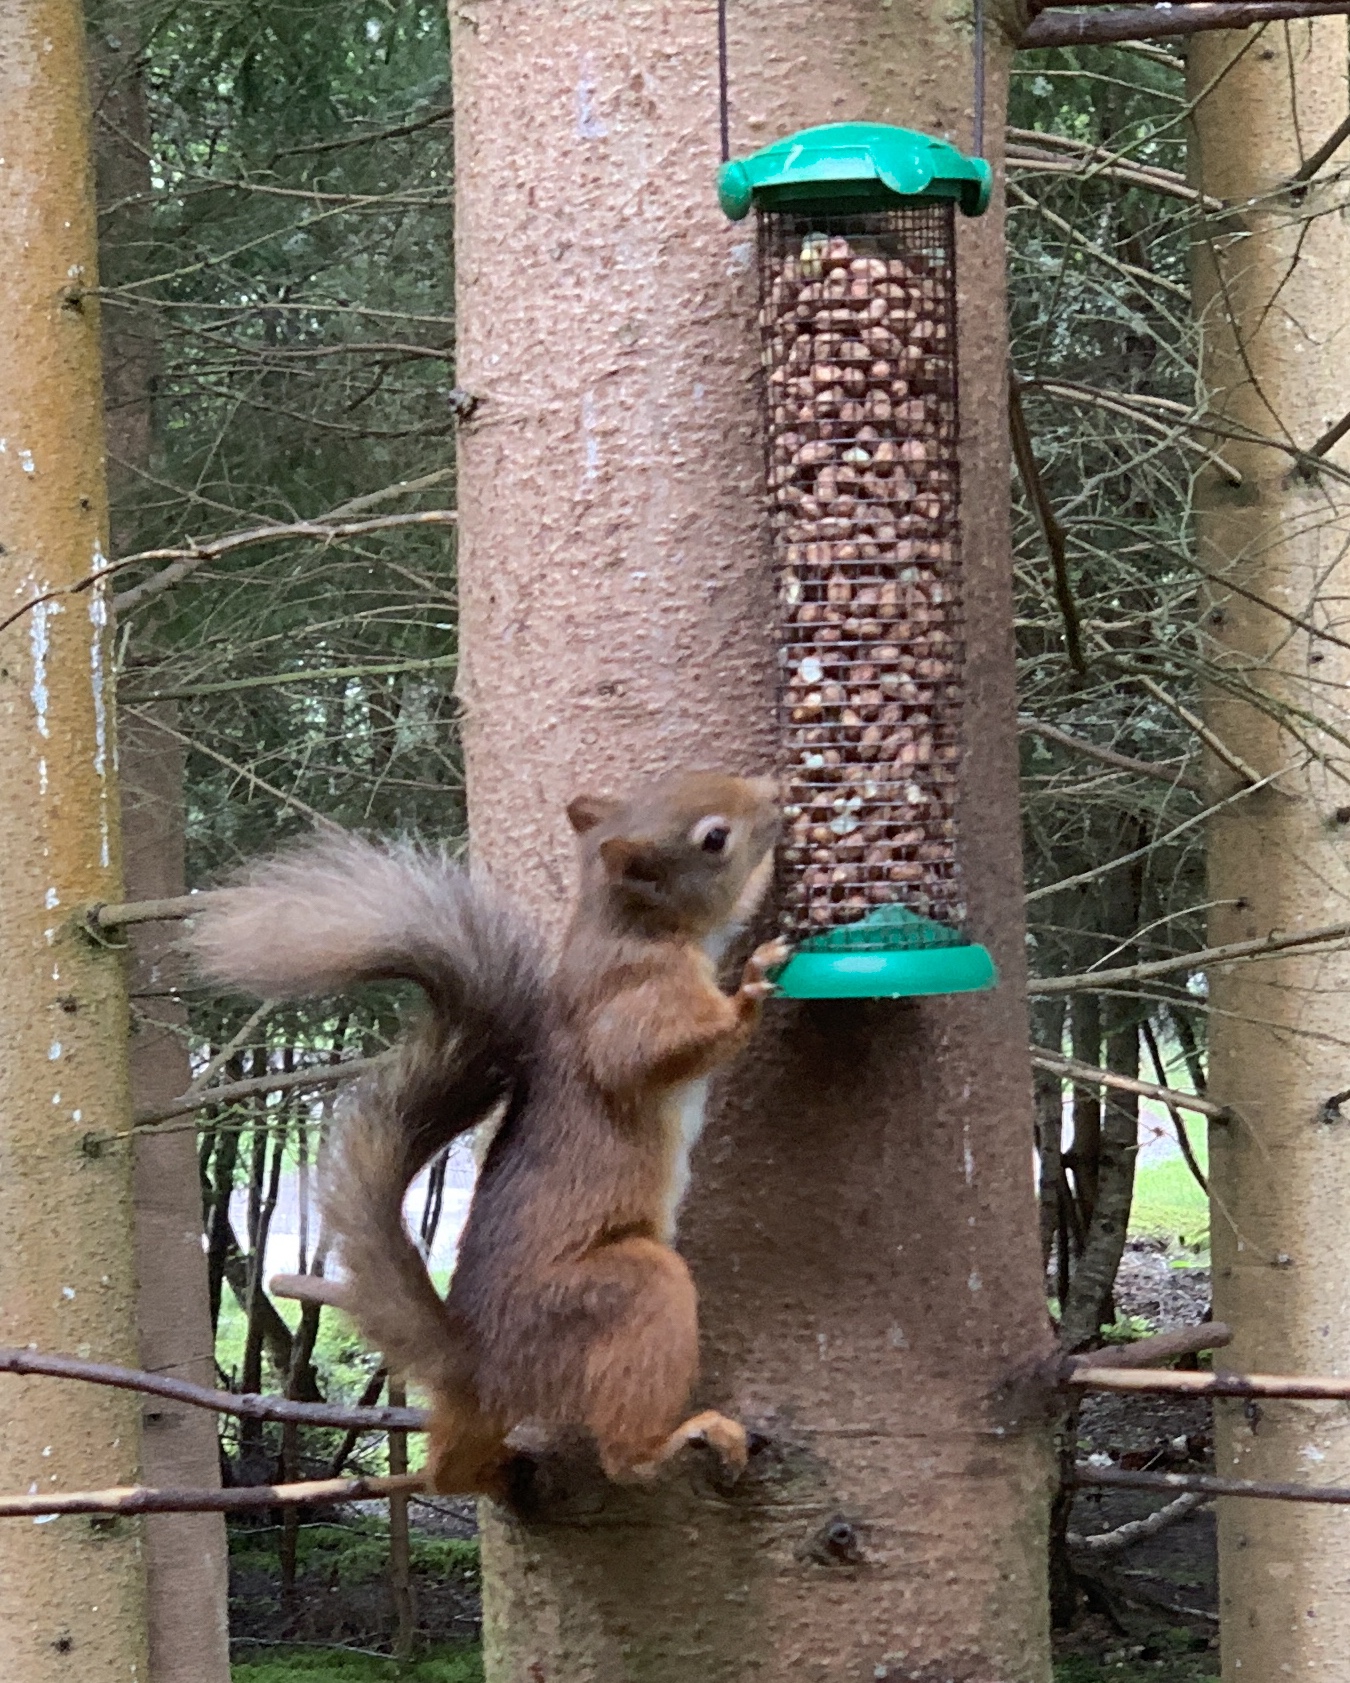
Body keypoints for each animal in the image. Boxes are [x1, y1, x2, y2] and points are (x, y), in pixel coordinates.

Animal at [187, 770, 777, 1494]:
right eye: (714, 838)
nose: (775, 798)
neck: (628, 926)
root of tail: (480, 1362)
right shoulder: (633, 999)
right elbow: (647, 1054)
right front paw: (749, 990)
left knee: (450, 1470)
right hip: (613, 1297)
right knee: (620, 1448)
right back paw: (672, 1441)